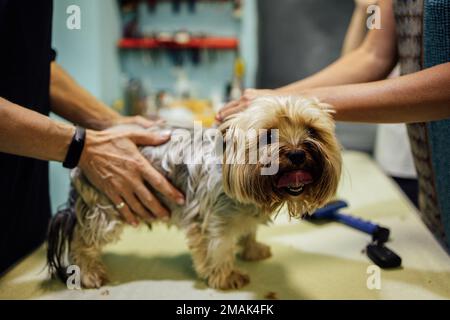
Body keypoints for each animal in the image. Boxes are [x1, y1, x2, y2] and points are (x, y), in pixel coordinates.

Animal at [46, 95, 342, 290]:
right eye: (268, 136)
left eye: (312, 131)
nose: (297, 154)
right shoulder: (211, 218)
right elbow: (218, 247)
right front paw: (226, 276)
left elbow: (248, 231)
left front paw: (252, 248)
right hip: (107, 203)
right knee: (82, 239)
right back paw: (88, 273)